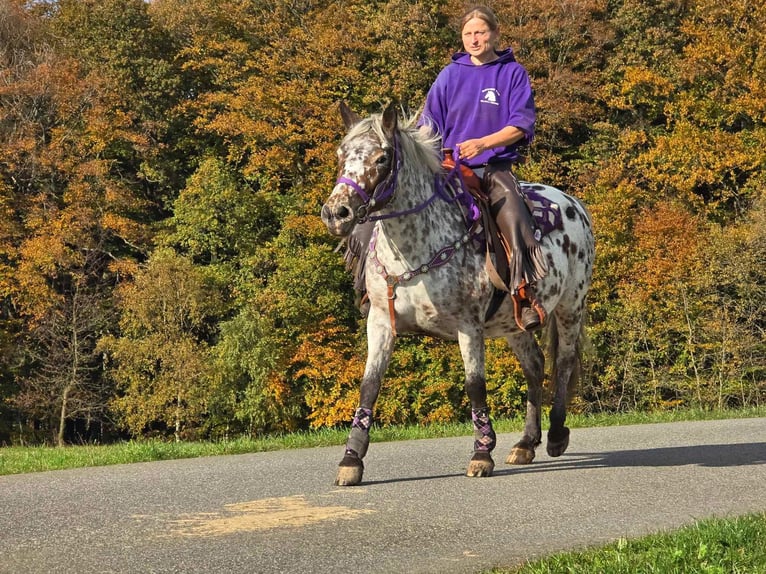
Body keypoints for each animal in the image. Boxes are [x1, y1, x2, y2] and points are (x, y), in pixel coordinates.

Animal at [320, 102, 596, 486]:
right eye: (341, 154)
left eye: (382, 157)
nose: (336, 213)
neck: (415, 250)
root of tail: (573, 203)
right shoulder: (380, 322)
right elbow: (369, 385)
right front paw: (351, 460)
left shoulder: (469, 325)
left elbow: (474, 385)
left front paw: (481, 453)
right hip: (515, 323)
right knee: (535, 365)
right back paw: (526, 443)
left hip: (571, 305)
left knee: (565, 362)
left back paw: (555, 435)